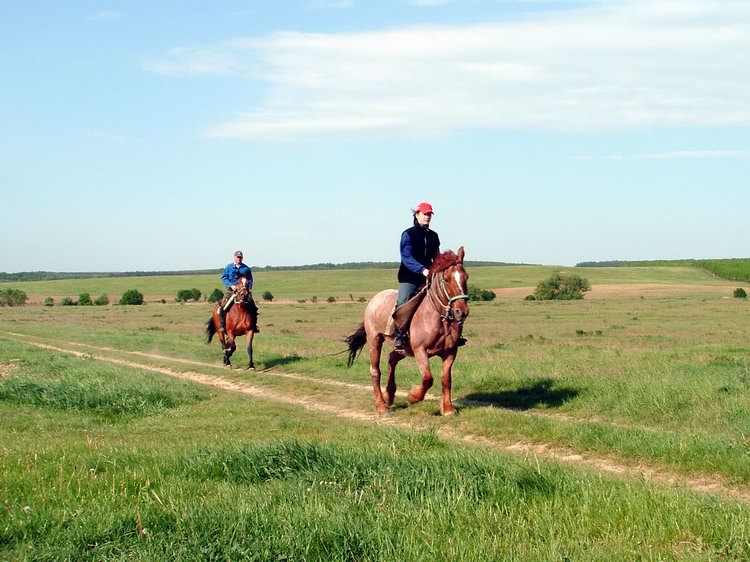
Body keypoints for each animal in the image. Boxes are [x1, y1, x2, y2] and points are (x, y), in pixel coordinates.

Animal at [348, 247, 470, 414]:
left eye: (466, 277)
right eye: (446, 279)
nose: (461, 312)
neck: (438, 317)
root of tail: (375, 299)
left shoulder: (451, 351)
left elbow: (446, 378)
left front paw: (448, 409)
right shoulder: (420, 350)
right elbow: (427, 378)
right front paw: (413, 395)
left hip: (403, 349)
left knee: (391, 359)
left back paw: (389, 395)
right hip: (375, 340)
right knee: (375, 371)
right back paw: (381, 406)